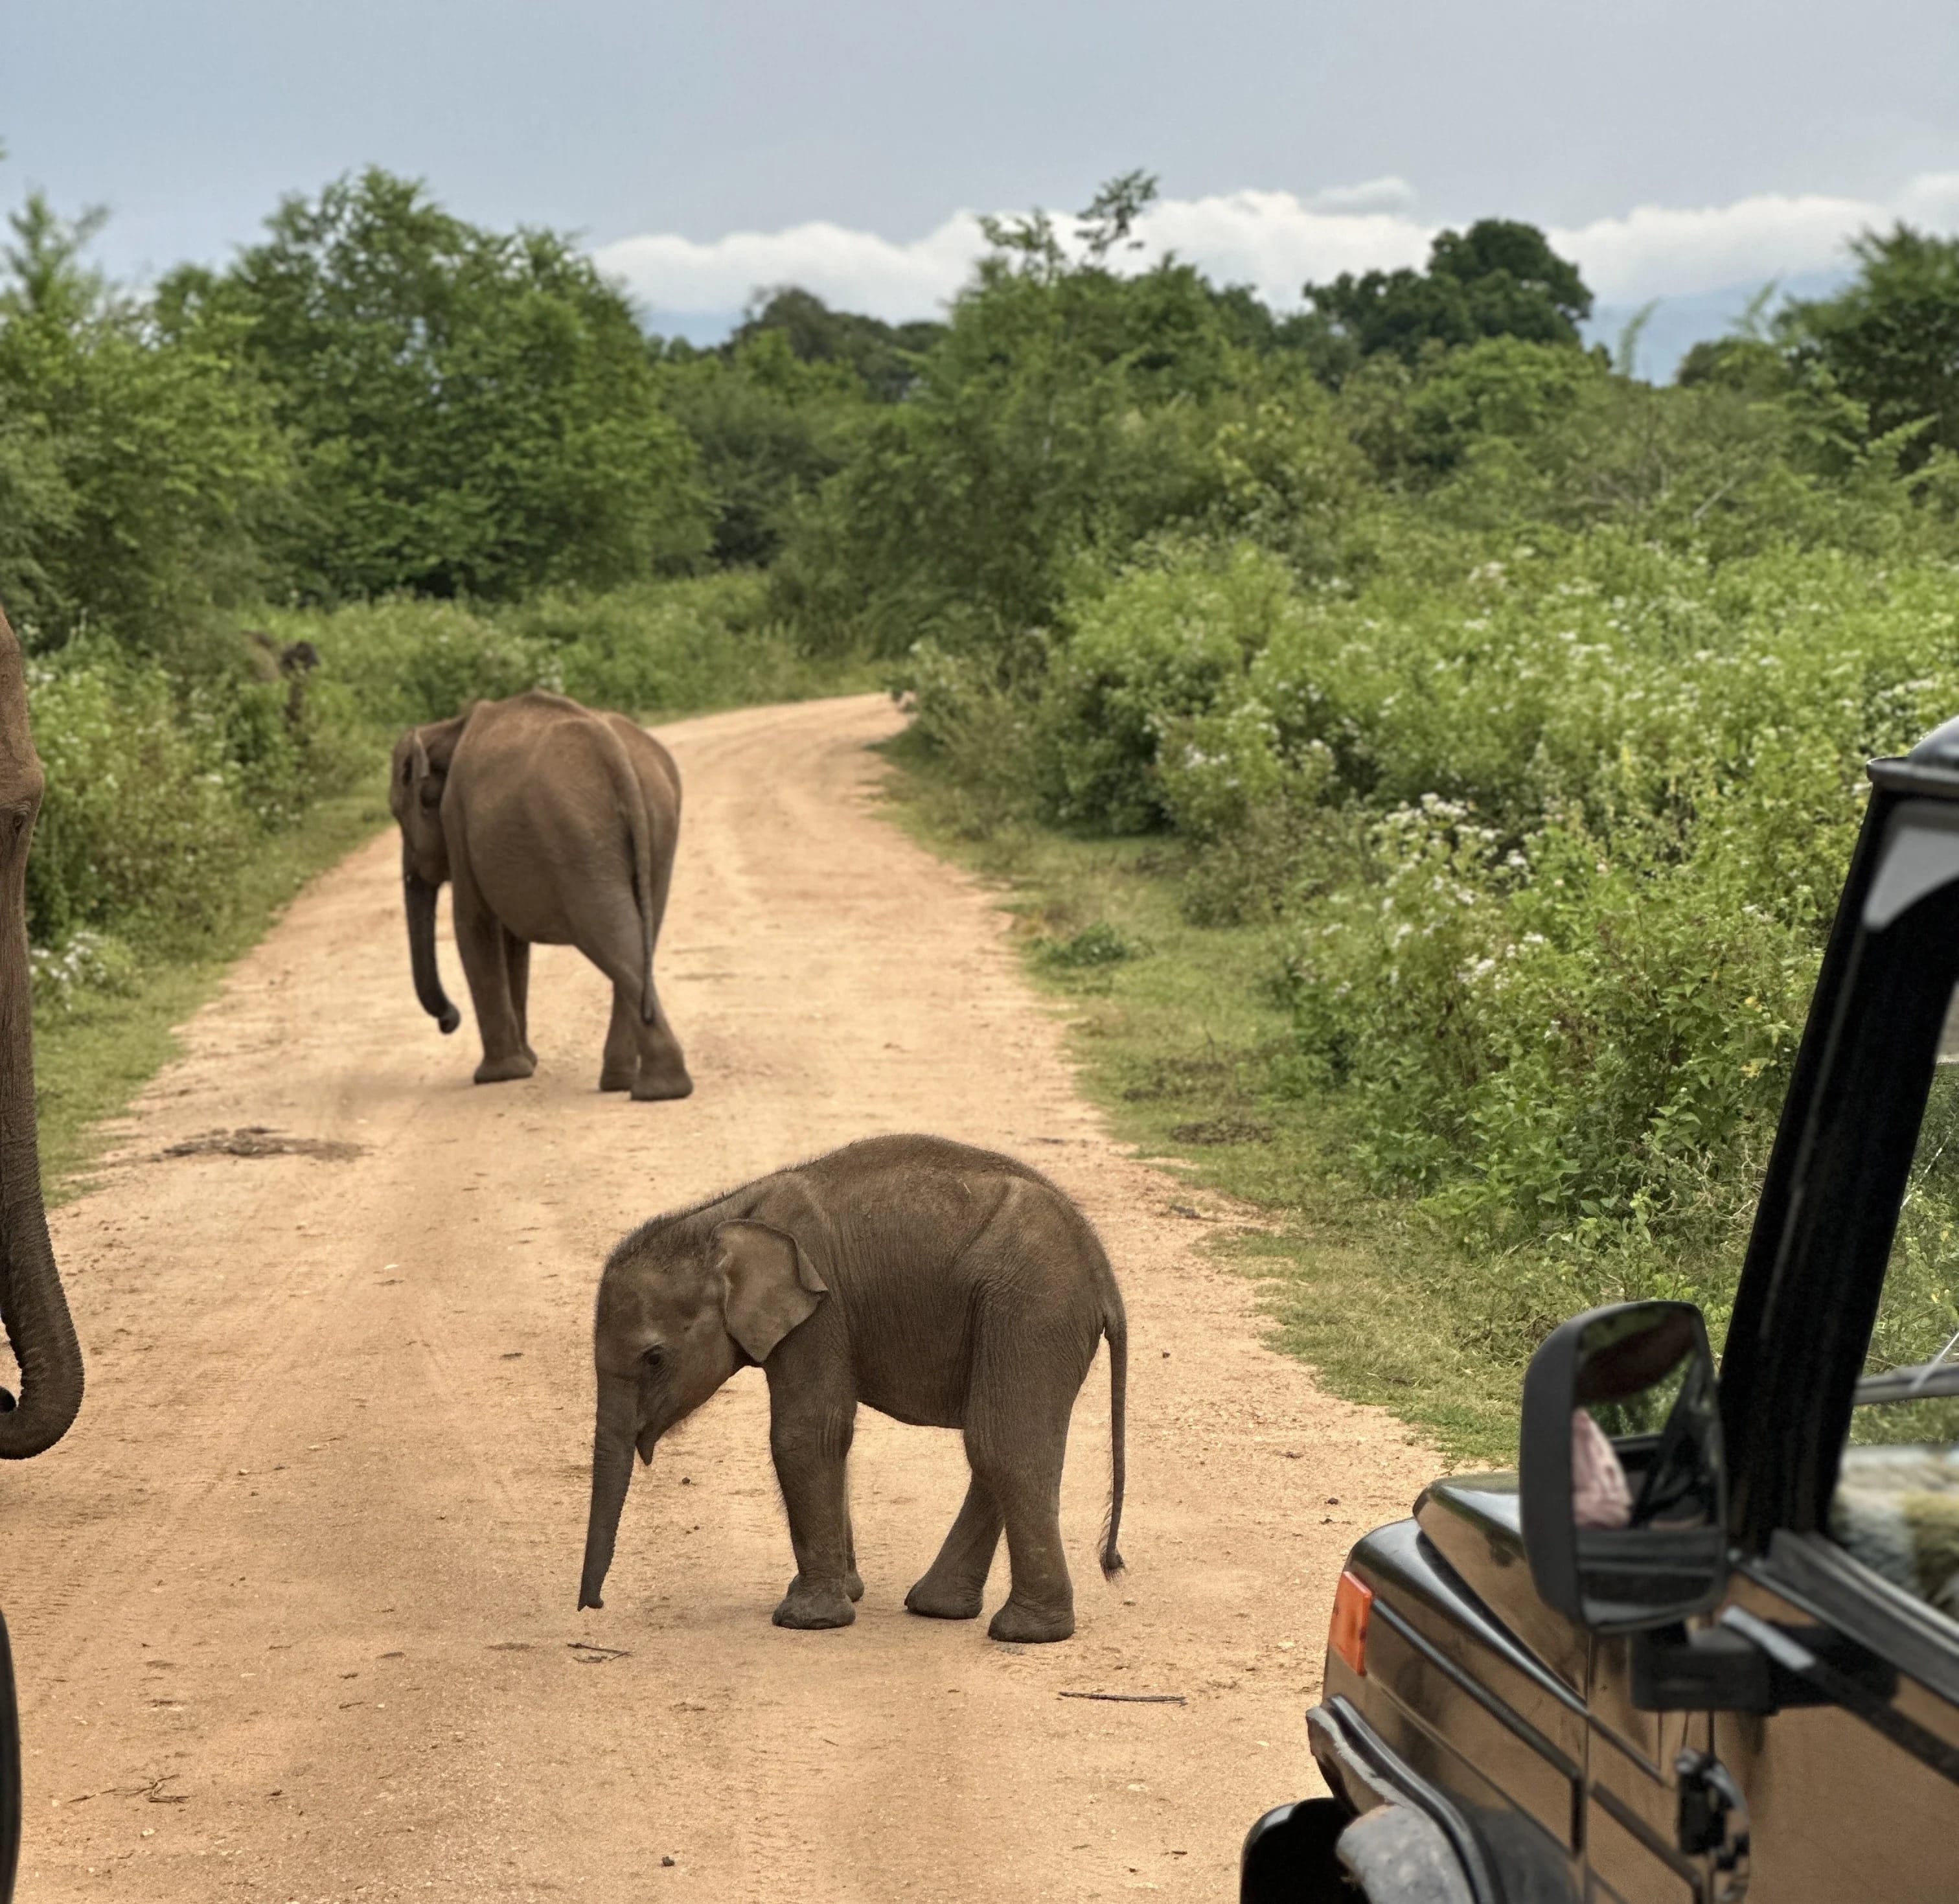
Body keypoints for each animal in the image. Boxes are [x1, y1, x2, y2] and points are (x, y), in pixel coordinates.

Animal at [390, 690, 692, 1100]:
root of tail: (618, 755)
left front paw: (500, 1076)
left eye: (397, 815)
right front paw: (526, 1064)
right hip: (656, 825)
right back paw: (636, 1086)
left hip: (577, 839)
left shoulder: (458, 818)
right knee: (638, 935)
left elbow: (474, 924)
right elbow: (512, 942)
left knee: (609, 934)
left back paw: (651, 1090)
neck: (448, 727)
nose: (448, 1021)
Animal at [577, 1134, 1128, 1643]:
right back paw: (939, 1607)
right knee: (997, 1442)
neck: (721, 1218)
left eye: (654, 1358)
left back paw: (1024, 1632)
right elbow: (831, 1436)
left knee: (1000, 1444)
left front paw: (807, 1620)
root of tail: (1104, 1273)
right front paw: (846, 1591)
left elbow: (808, 1432)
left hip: (1031, 1310)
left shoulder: (821, 1309)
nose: (593, 1605)